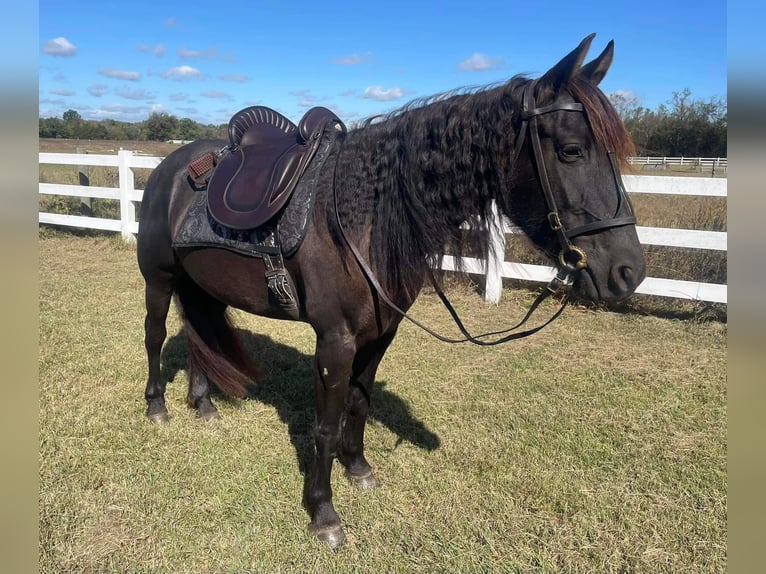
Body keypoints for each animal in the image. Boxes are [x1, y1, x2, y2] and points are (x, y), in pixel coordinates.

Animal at [138, 35, 648, 548]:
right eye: (571, 150)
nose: (629, 271)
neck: (361, 217)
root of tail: (171, 167)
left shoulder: (382, 333)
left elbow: (360, 403)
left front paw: (359, 469)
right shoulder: (335, 341)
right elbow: (325, 425)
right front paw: (323, 513)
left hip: (202, 285)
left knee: (200, 331)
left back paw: (203, 403)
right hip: (158, 279)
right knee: (156, 336)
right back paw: (158, 407)